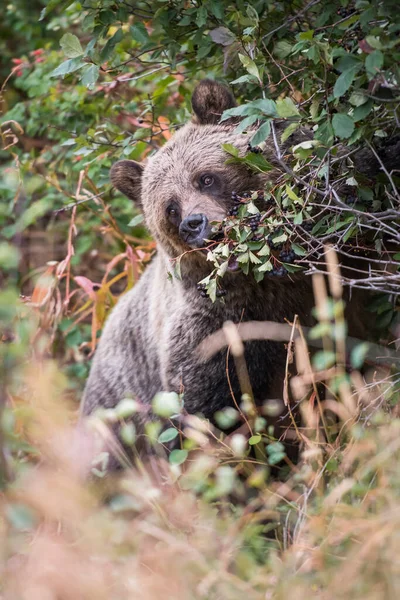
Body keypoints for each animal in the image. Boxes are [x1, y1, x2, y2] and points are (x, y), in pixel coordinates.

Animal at [81, 81, 368, 454]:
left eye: (205, 178)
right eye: (170, 207)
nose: (194, 224)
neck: (261, 279)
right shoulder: (213, 331)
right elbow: (205, 410)